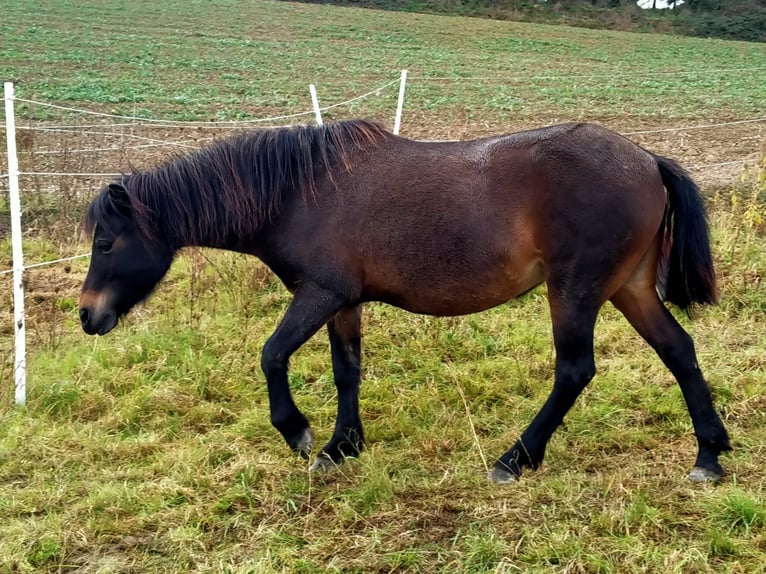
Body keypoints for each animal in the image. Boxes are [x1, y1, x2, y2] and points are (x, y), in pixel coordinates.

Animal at [79, 119, 732, 484]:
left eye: (106, 241)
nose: (88, 315)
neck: (298, 193)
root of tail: (647, 159)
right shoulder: (342, 302)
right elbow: (346, 370)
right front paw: (343, 447)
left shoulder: (320, 293)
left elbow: (271, 355)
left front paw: (300, 434)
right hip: (629, 288)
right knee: (680, 351)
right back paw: (709, 455)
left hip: (576, 290)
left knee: (574, 370)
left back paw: (515, 459)